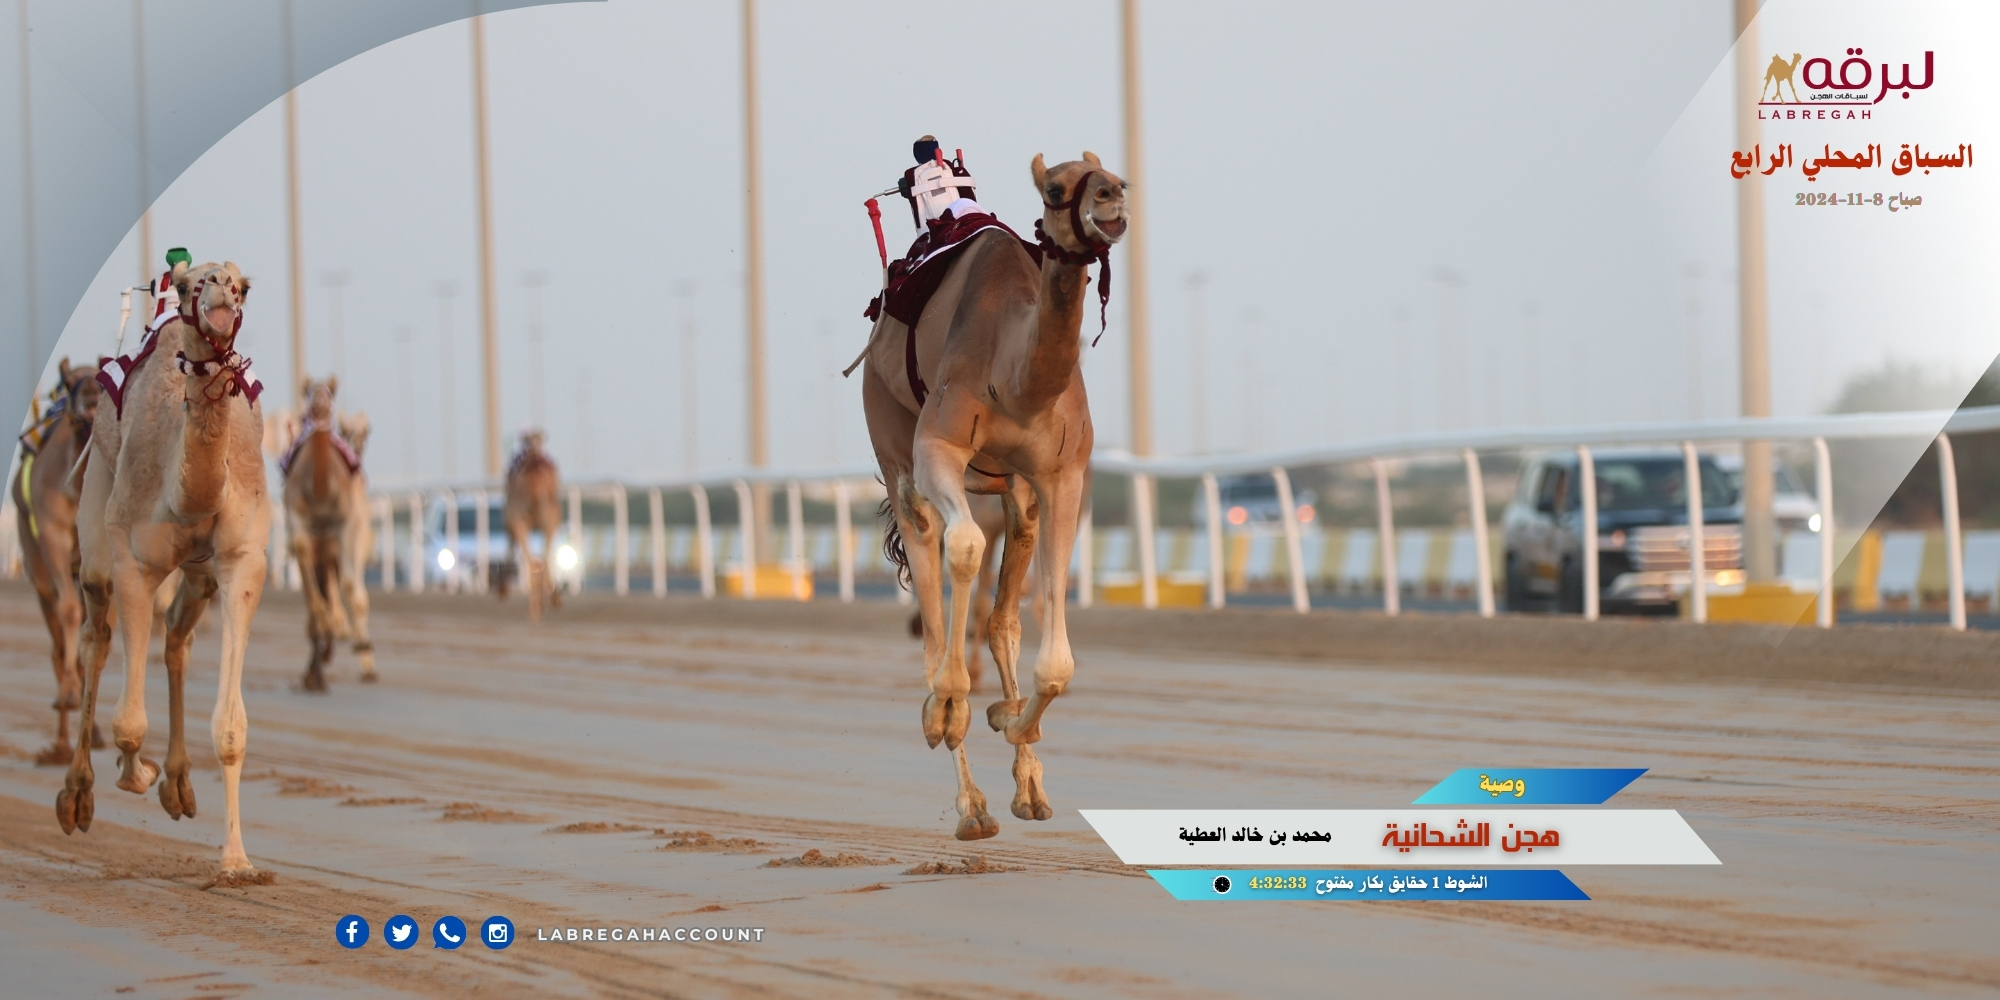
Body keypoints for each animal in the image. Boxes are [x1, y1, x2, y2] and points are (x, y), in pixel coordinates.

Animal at [56, 260, 274, 884]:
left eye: (243, 286)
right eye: (184, 285)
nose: (221, 300)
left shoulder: (243, 559)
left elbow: (231, 727)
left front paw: (237, 862)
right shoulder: (135, 559)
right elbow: (129, 721)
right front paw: (138, 773)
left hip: (199, 576)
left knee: (177, 638)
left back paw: (179, 785)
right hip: (97, 507)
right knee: (96, 634)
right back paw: (79, 793)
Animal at [282, 376, 376, 696]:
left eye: (367, 431)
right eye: (309, 391)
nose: (319, 405)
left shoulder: (346, 529)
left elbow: (350, 587)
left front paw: (353, 638)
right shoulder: (298, 518)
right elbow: (301, 548)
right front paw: (332, 624)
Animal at [864, 152, 1136, 840]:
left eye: (1115, 177)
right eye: (1055, 188)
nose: (1111, 198)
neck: (1014, 382)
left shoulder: (1061, 476)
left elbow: (1051, 654)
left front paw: (1009, 720)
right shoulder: (937, 446)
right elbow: (962, 548)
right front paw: (951, 710)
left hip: (1016, 493)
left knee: (1002, 618)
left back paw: (1022, 783)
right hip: (892, 440)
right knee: (933, 581)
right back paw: (967, 793)